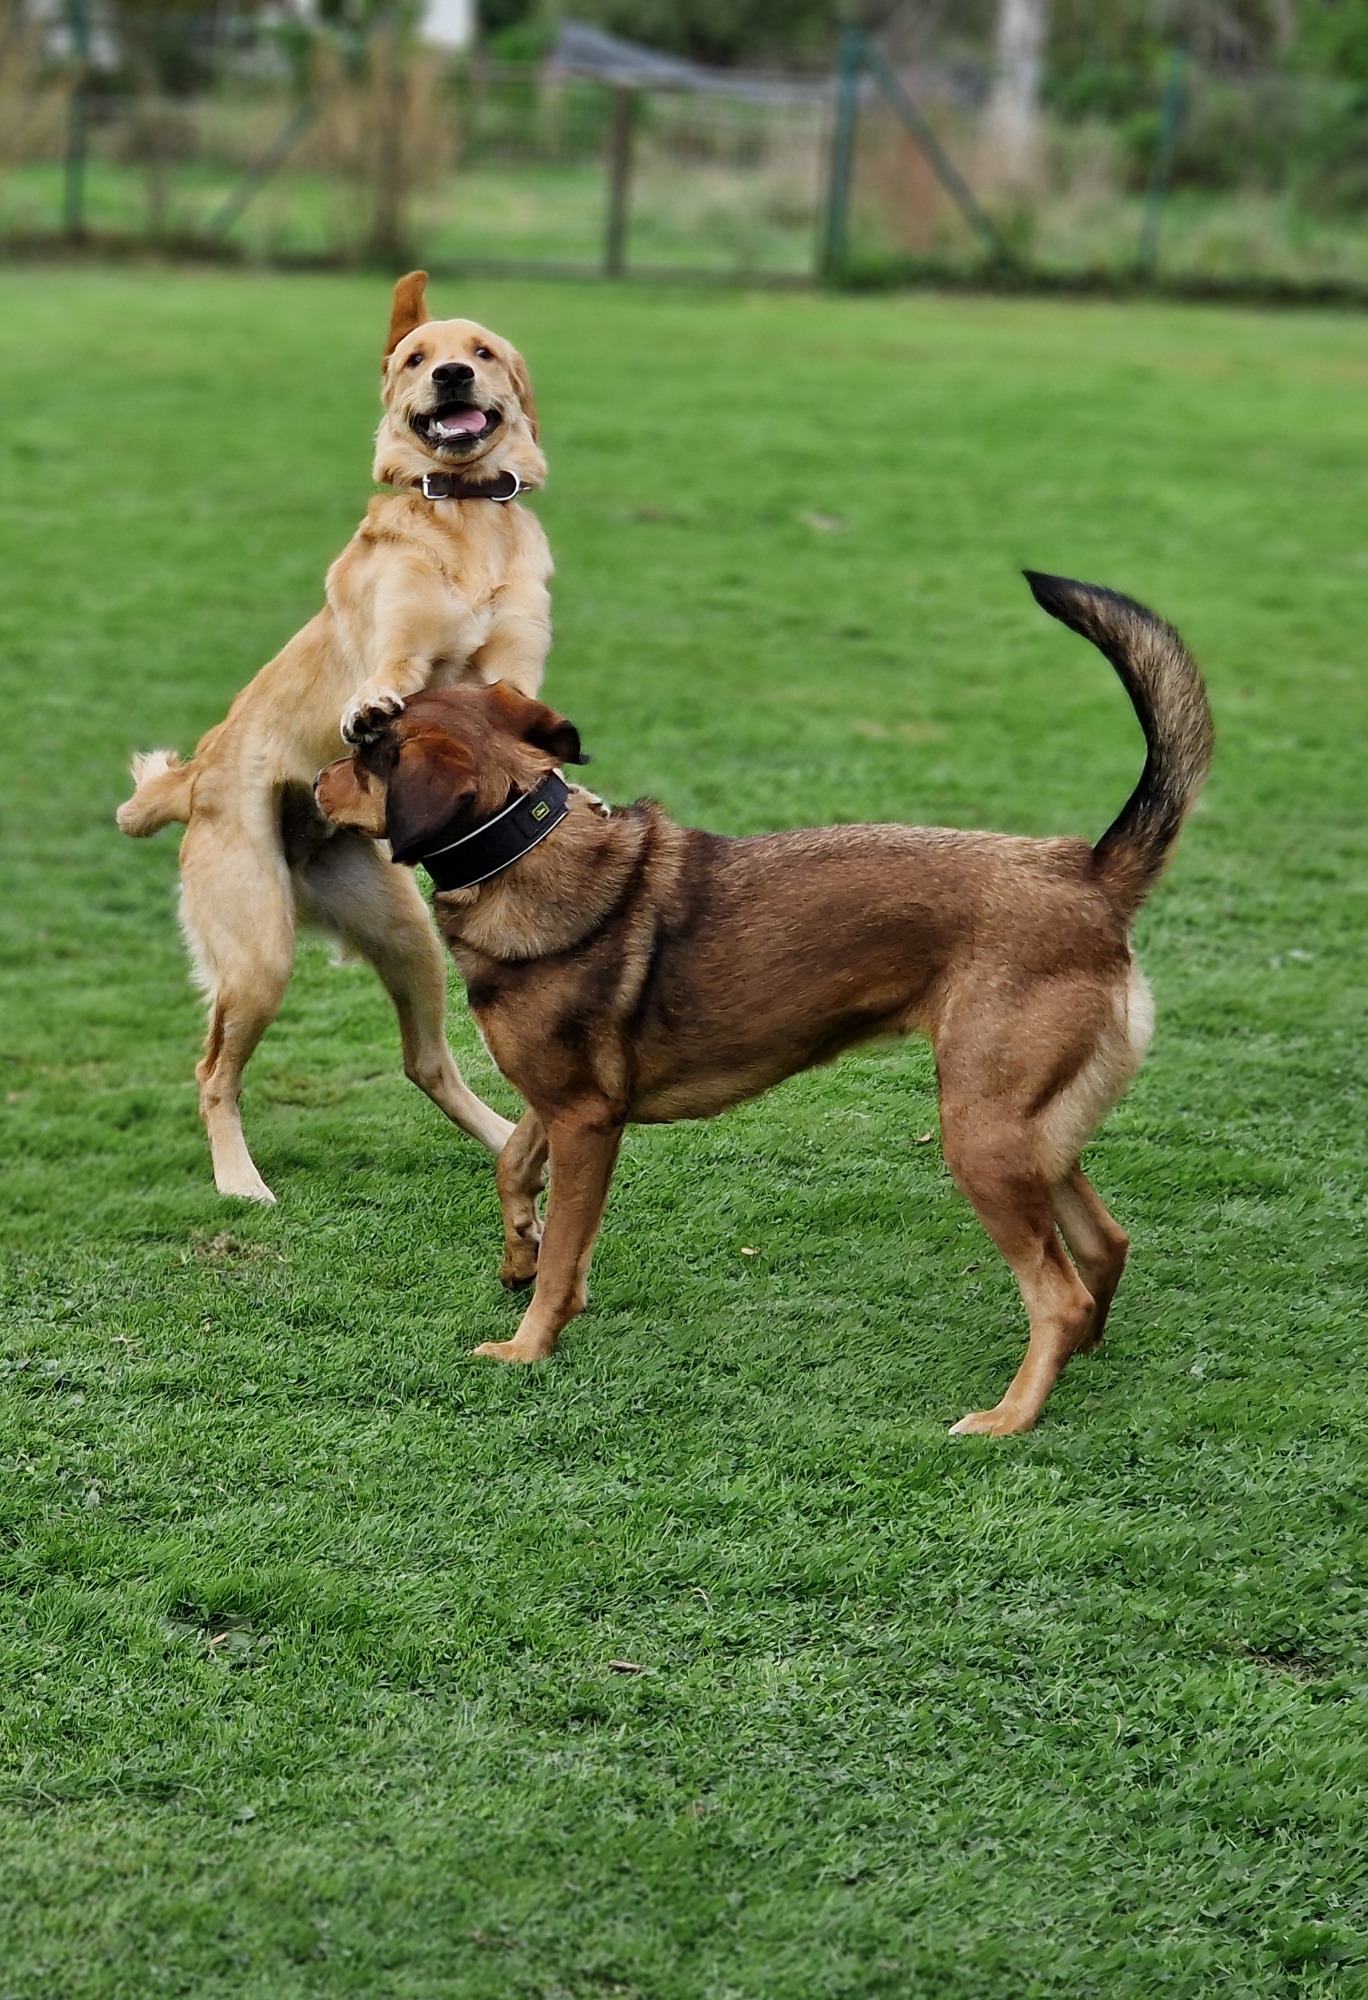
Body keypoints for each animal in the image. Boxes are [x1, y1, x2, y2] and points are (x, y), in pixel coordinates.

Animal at [116, 272, 551, 1202]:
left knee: (427, 1062)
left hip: (407, 936)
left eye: (484, 352)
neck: (465, 520)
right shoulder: (398, 644)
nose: (452, 375)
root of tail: (193, 782)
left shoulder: (518, 671)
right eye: (417, 358)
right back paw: (240, 1182)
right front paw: (372, 712)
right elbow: (390, 678)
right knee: (213, 1074)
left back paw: (508, 1141)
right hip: (258, 954)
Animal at [315, 574, 1213, 1435]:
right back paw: (1080, 1360)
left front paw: (530, 1343)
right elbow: (512, 1165)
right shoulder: (562, 1103)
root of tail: (1088, 874)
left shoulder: (585, 1121)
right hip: (1032, 1133)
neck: (523, 846)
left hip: (982, 1134)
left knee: (1057, 1293)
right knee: (1104, 1246)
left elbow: (566, 1253)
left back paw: (1010, 1417)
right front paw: (518, 1254)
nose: (317, 781)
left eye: (370, 751)